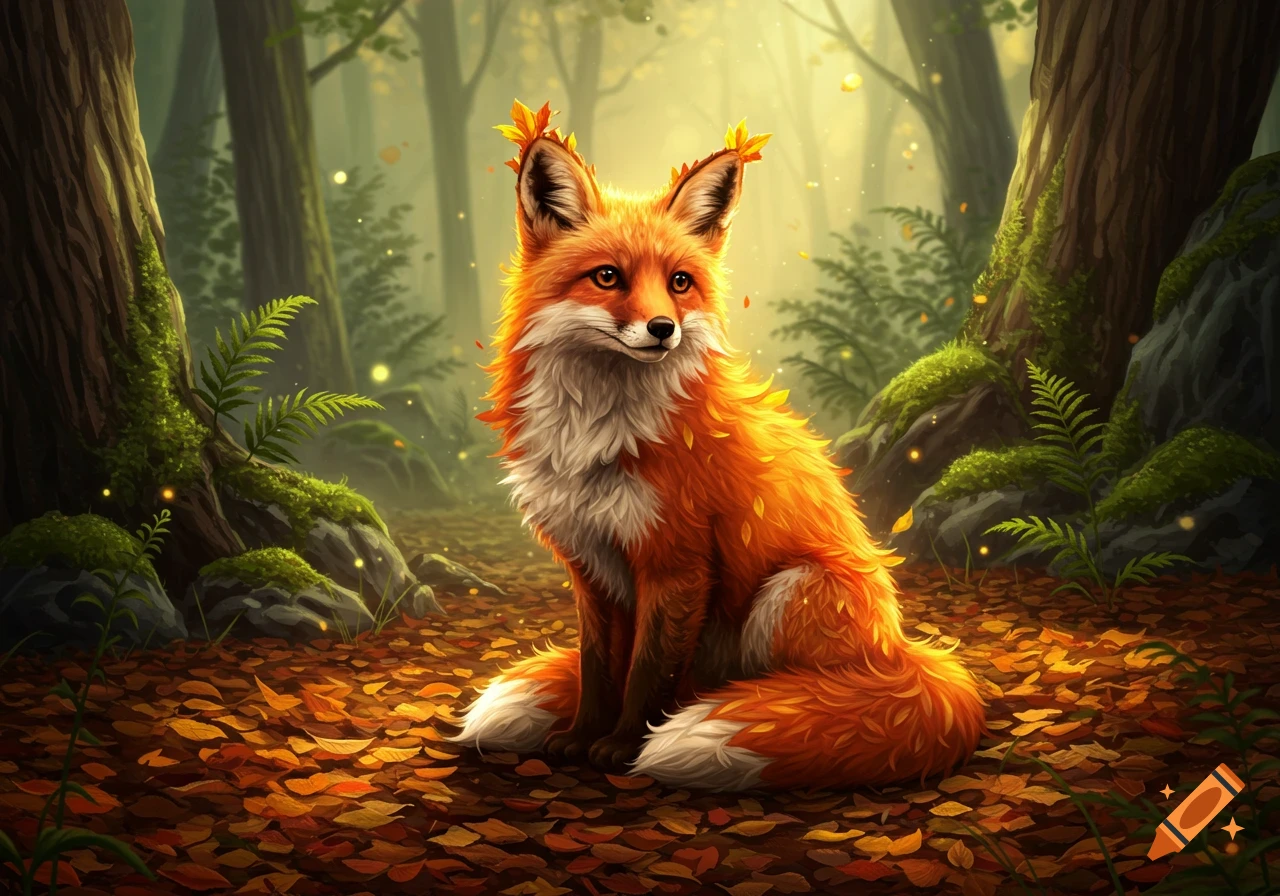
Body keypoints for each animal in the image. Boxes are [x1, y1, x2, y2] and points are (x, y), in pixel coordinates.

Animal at [450, 101, 985, 791]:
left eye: (680, 282)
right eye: (607, 277)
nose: (662, 329)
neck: (597, 436)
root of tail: (901, 648)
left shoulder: (676, 561)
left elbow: (647, 672)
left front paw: (622, 748)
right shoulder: (590, 564)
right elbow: (600, 669)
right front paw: (579, 737)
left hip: (788, 592)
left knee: (786, 689)